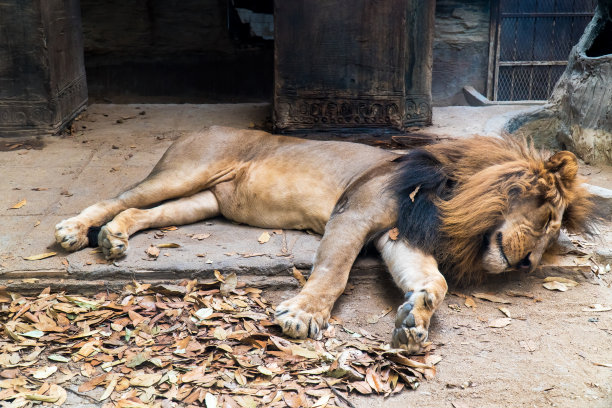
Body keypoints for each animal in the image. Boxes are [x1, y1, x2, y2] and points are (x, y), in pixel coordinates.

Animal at [56, 127, 592, 354]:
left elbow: (433, 280)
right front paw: (303, 316)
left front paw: (414, 319)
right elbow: (333, 272)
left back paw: (114, 239)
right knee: (120, 197)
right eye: (548, 217)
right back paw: (74, 231)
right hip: (188, 170)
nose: (529, 265)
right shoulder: (353, 214)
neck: (448, 201)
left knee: (138, 212)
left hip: (203, 201)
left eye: (553, 231)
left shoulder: (398, 237)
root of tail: (197, 126)